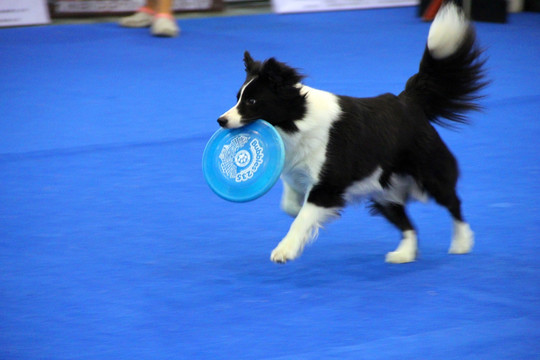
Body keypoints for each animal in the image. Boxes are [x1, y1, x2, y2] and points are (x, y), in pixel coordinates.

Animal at [217, 3, 488, 264]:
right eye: (237, 97)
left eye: (252, 101)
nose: (221, 120)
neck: (296, 119)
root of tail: (407, 101)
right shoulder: (299, 173)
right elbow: (291, 206)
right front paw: (298, 213)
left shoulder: (328, 185)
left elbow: (302, 218)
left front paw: (285, 250)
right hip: (384, 190)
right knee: (407, 223)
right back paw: (404, 254)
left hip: (430, 172)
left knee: (453, 203)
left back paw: (462, 243)